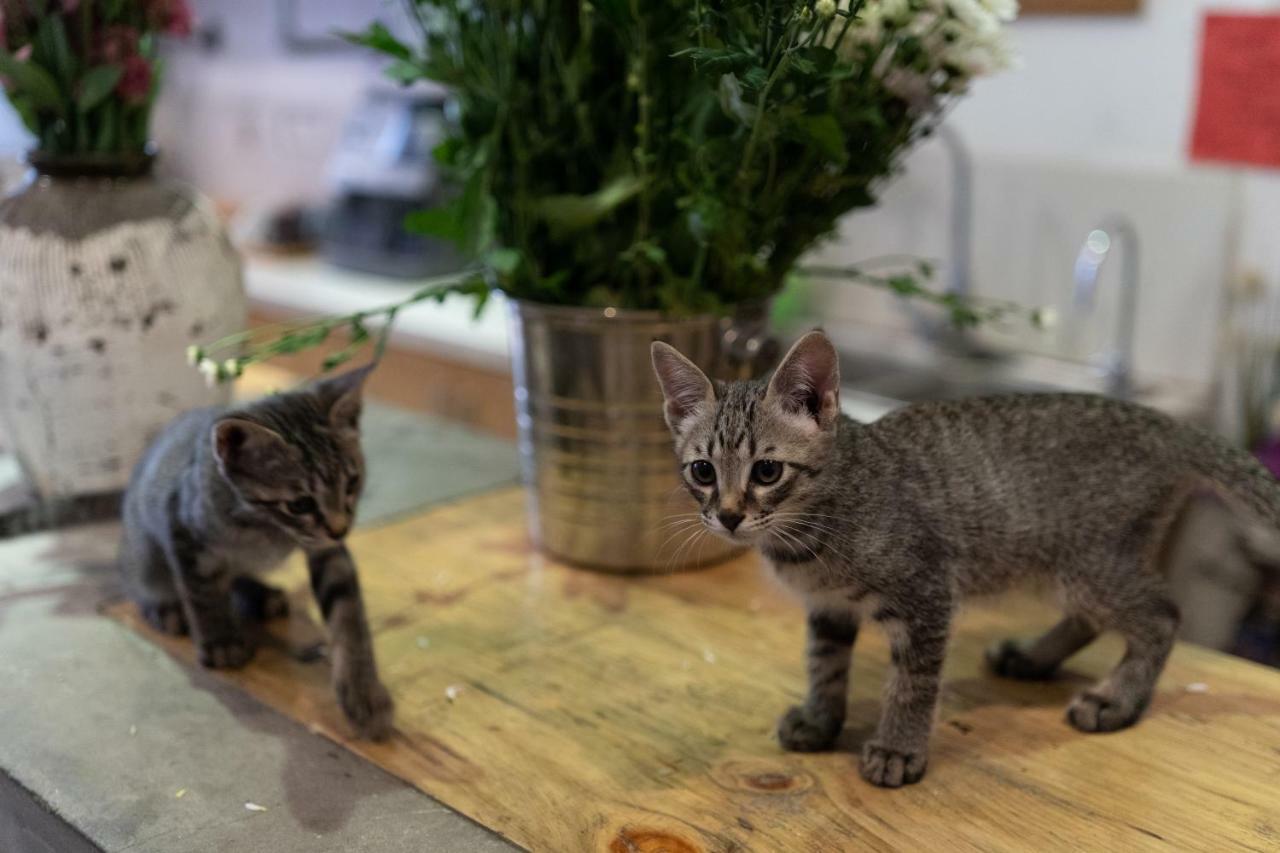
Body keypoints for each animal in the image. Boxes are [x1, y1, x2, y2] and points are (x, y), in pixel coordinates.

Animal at [119, 366, 389, 737]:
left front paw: (363, 687)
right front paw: (220, 639)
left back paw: (260, 594)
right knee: (140, 576)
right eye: (300, 504)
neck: (268, 529)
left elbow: (349, 612)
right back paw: (164, 604)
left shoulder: (328, 551)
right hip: (142, 542)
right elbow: (203, 592)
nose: (339, 528)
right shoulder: (182, 525)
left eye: (352, 483)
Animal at [655, 330, 1280, 783]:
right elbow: (824, 664)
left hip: (1093, 563)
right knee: (1090, 619)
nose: (728, 516)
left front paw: (898, 747)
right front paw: (820, 718)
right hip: (1064, 564)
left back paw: (1115, 700)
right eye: (702, 471)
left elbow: (912, 683)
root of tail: (1164, 421)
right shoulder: (829, 608)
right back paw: (1032, 657)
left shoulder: (927, 592)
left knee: (1161, 616)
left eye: (766, 471)